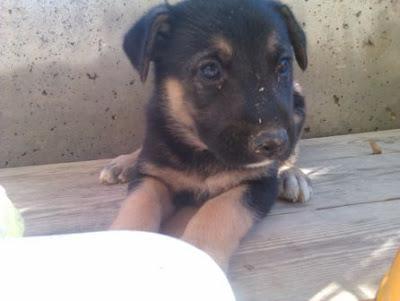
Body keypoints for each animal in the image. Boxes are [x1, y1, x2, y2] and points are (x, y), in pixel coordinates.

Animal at [101, 0, 312, 268]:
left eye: (283, 65)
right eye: (210, 69)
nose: (274, 143)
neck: (202, 152)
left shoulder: (259, 184)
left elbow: (218, 210)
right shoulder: (151, 176)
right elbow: (139, 204)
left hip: (298, 101)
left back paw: (292, 175)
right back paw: (124, 162)